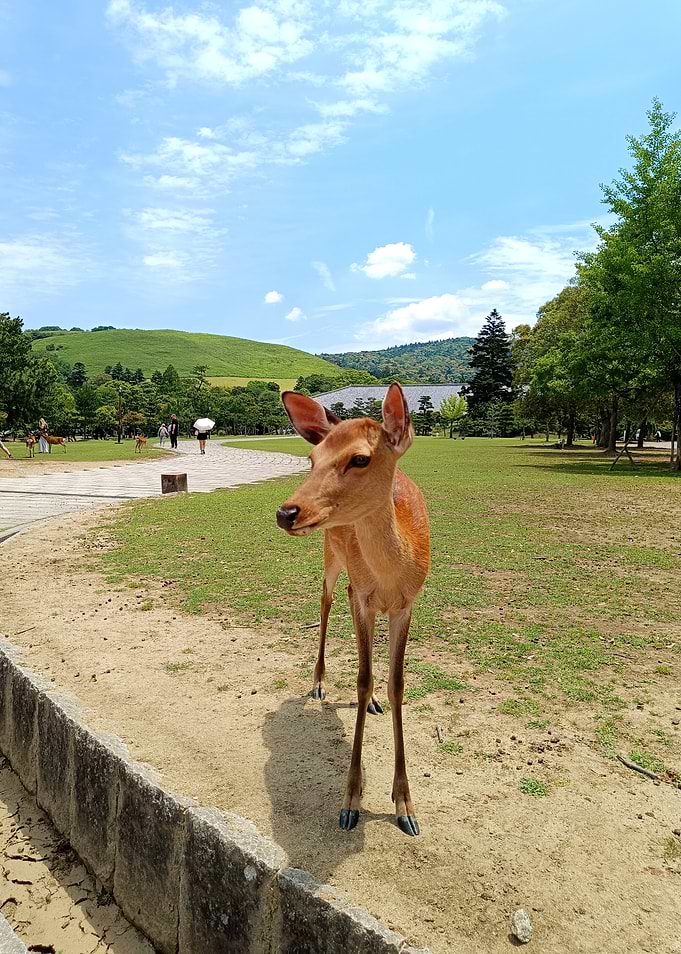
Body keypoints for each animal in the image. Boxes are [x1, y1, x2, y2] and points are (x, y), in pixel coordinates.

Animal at [276, 383, 430, 837]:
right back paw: (319, 684)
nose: (286, 512)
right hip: (329, 552)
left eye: (360, 458)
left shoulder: (406, 604)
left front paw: (406, 806)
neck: (393, 576)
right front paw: (350, 802)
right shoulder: (366, 599)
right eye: (311, 458)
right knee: (327, 599)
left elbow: (398, 684)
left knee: (343, 594)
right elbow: (359, 681)